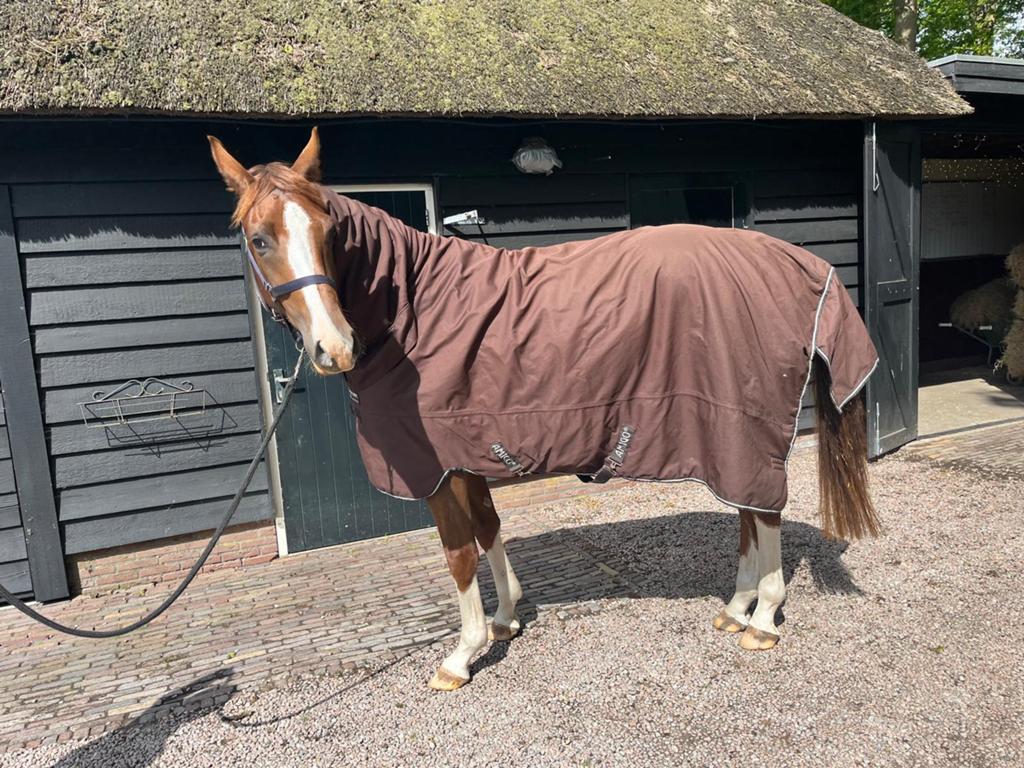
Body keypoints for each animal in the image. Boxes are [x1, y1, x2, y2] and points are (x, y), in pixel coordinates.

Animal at [208, 128, 880, 691]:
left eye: (327, 232)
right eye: (260, 239)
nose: (334, 347)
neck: (415, 316)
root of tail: (803, 263)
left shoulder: (437, 469)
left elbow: (458, 554)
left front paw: (462, 653)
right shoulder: (469, 454)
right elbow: (489, 529)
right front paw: (506, 618)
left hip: (743, 428)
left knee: (764, 513)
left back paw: (763, 620)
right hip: (730, 436)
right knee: (749, 513)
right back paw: (737, 609)